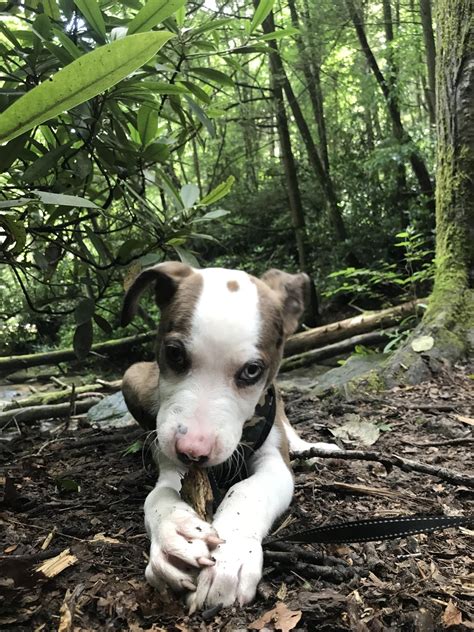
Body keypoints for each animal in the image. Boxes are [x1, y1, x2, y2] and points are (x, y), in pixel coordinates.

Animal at [122, 260, 336, 608]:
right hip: (133, 375)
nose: (193, 451)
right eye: (174, 353)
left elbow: (248, 490)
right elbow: (159, 494)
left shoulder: (274, 463)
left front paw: (229, 556)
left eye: (252, 371)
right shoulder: (169, 458)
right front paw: (176, 534)